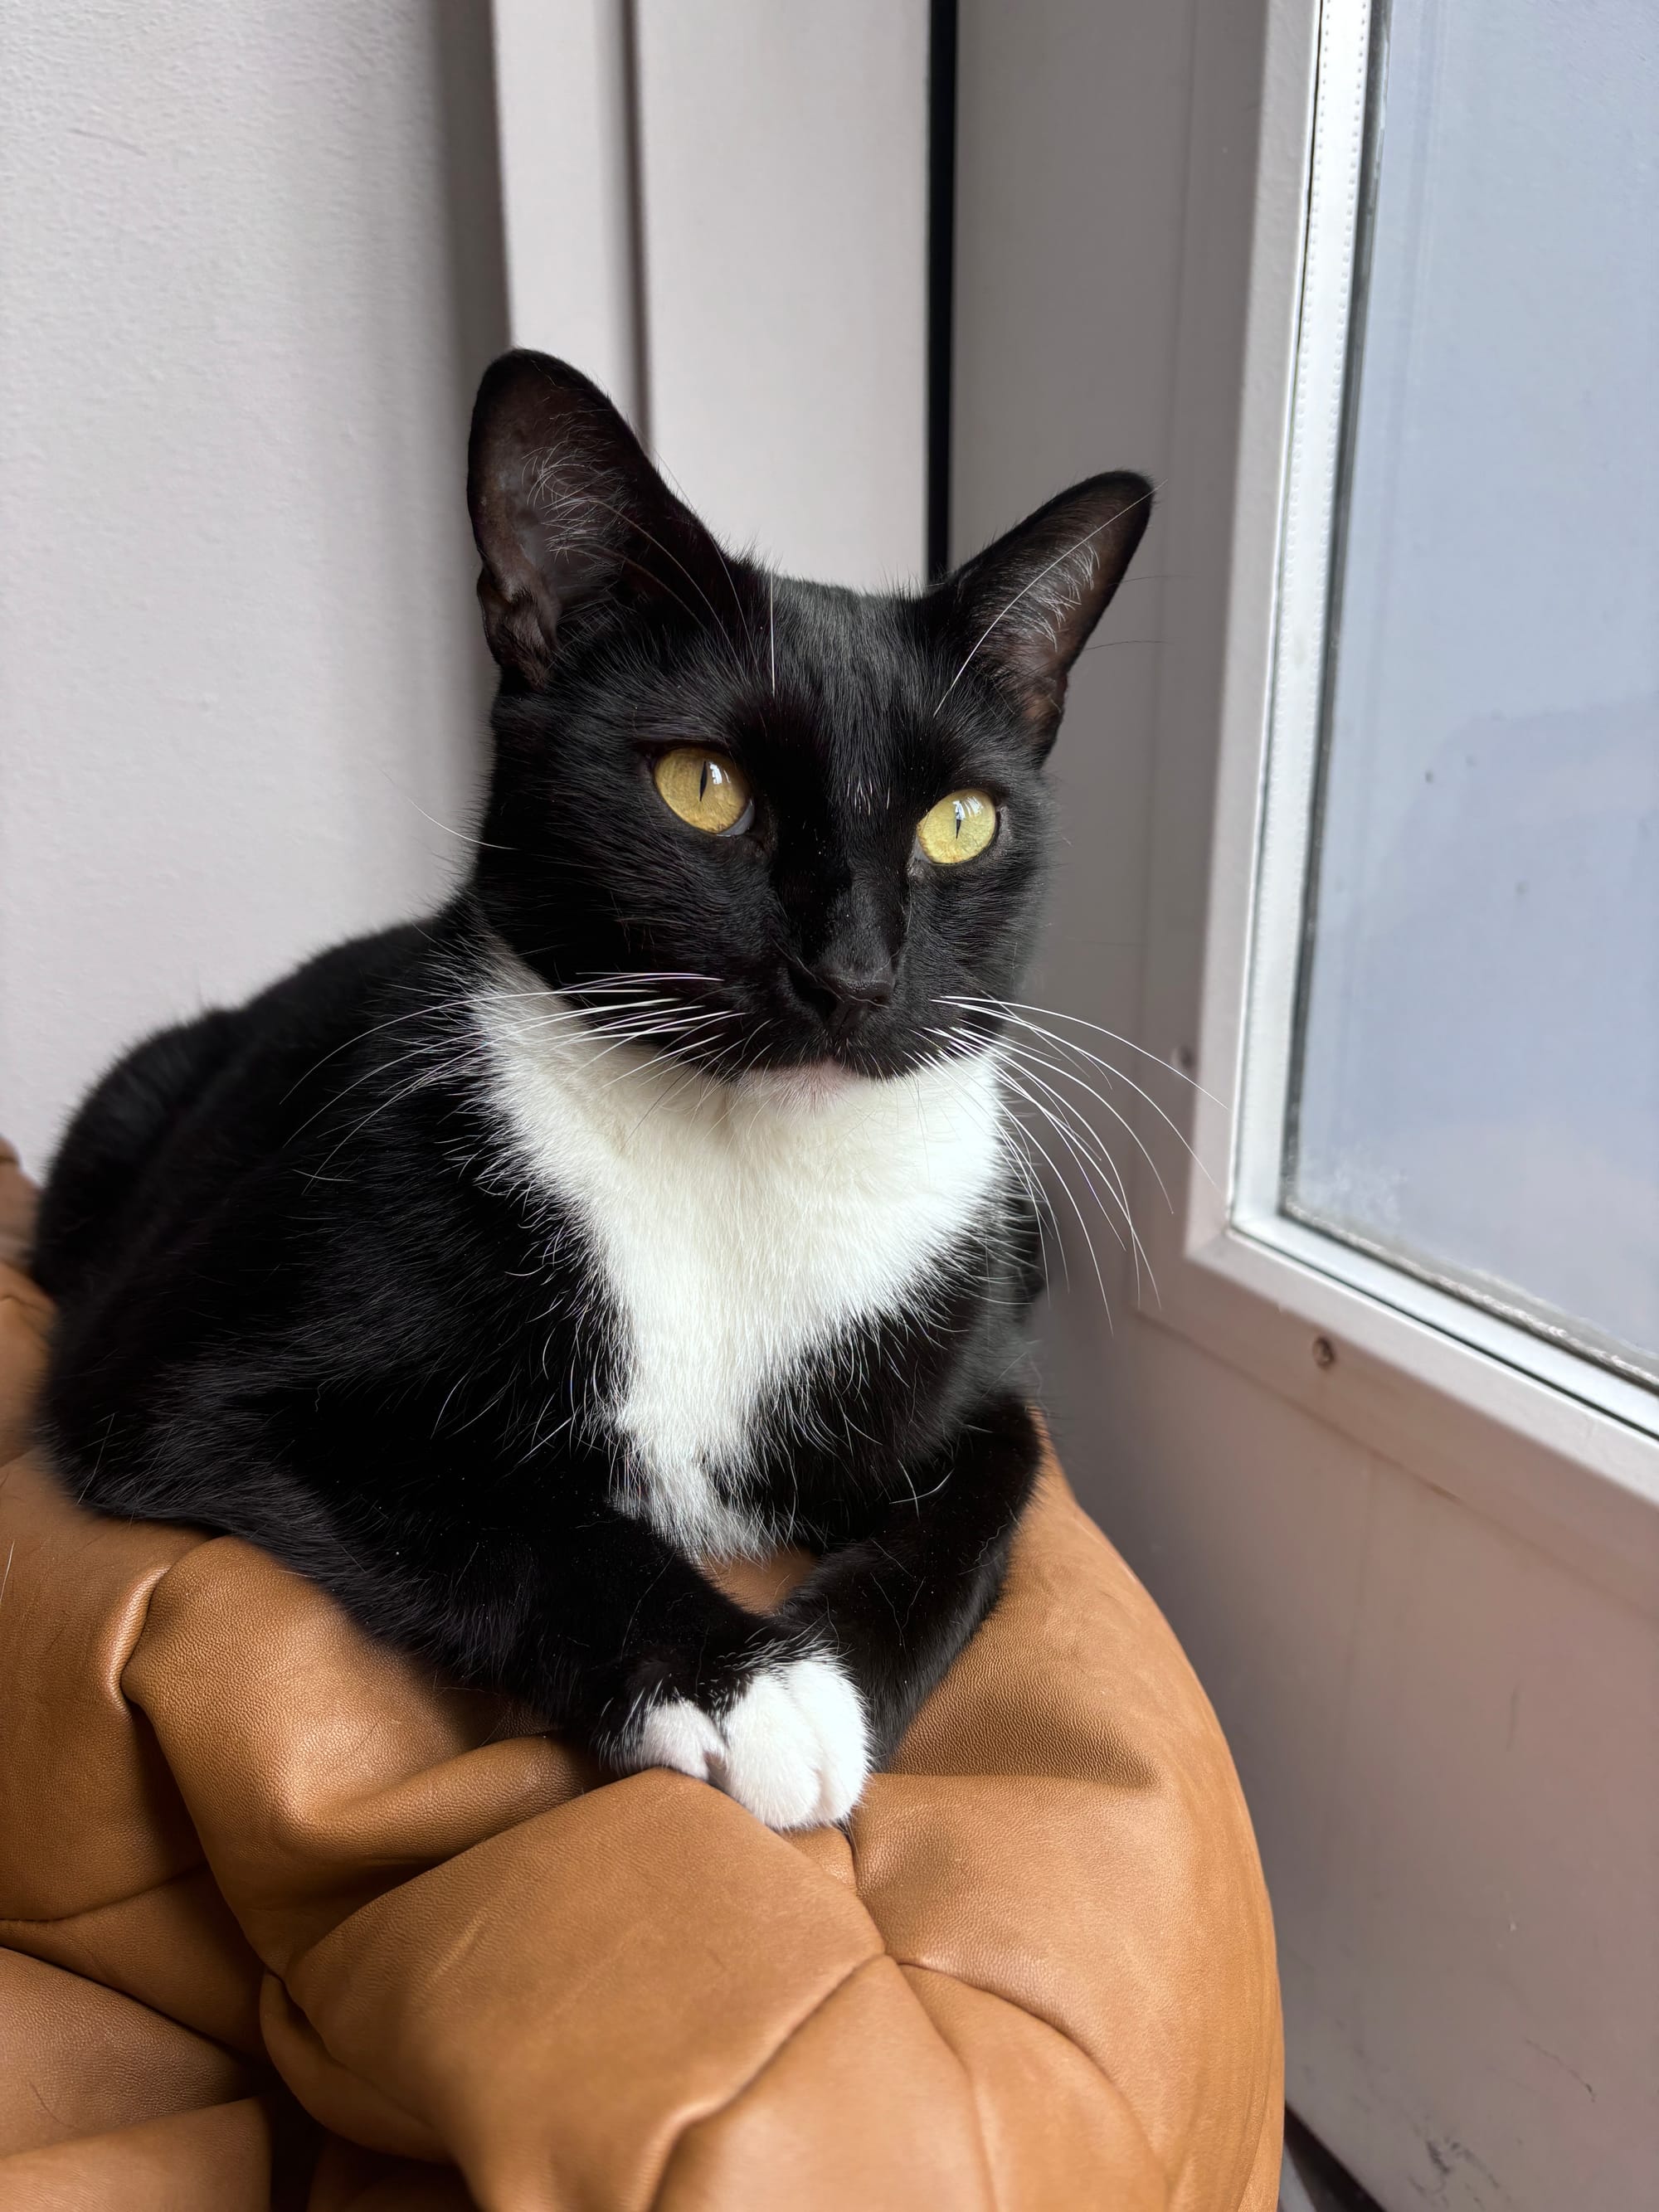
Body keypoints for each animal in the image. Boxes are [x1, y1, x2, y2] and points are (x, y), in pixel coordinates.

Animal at [32, 353, 1150, 1822]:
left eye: (961, 821)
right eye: (702, 786)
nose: (852, 971)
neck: (739, 1163)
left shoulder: (978, 1375)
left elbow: (985, 1502)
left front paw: (834, 1682)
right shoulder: (184, 1378)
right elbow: (510, 1511)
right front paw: (749, 1688)